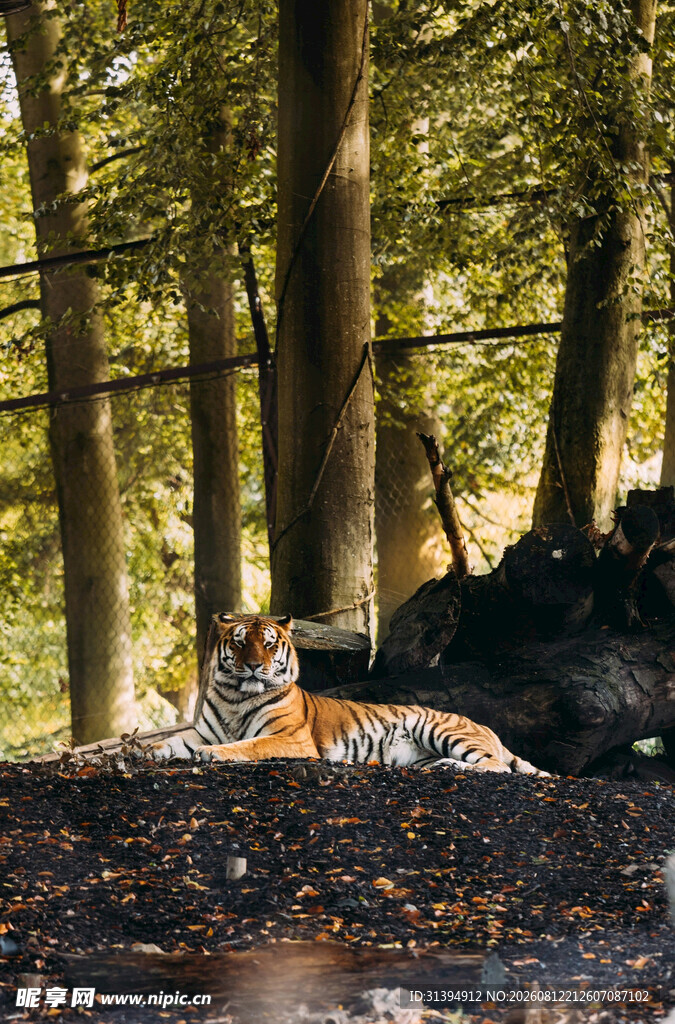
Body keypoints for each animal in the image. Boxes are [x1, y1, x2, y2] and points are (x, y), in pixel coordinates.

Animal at [147, 613, 550, 775]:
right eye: (240, 642)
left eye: (269, 643)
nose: (253, 666)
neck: (236, 696)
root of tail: (487, 728)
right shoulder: (201, 730)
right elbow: (165, 743)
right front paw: (138, 750)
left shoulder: (291, 739)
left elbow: (249, 745)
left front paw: (212, 754)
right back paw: (444, 766)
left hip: (439, 728)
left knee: (497, 766)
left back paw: (457, 766)